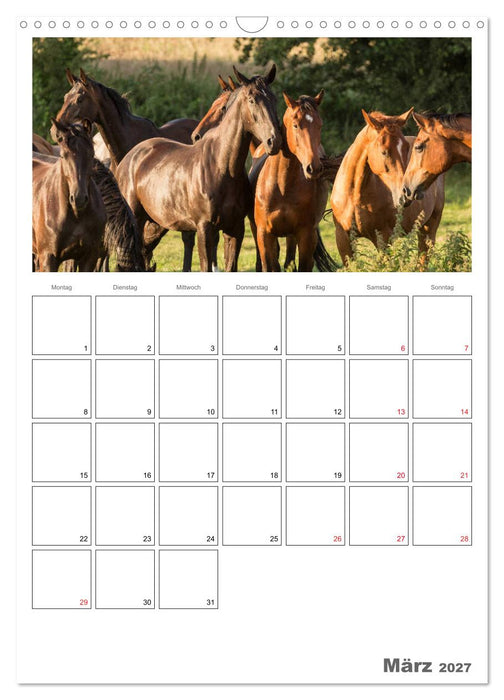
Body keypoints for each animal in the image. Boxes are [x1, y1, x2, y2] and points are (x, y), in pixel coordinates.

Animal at [115, 65, 282, 272]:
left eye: (274, 99)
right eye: (252, 99)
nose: (274, 141)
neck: (222, 167)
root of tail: (128, 159)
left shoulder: (235, 229)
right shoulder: (204, 229)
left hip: (153, 224)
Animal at [253, 91, 329, 271]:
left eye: (320, 125)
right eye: (295, 125)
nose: (314, 168)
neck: (282, 187)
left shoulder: (306, 235)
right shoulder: (264, 235)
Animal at [330, 109, 445, 264]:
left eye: (407, 148)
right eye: (384, 152)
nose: (405, 195)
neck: (354, 197)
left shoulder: (383, 238)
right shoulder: (343, 239)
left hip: (429, 229)